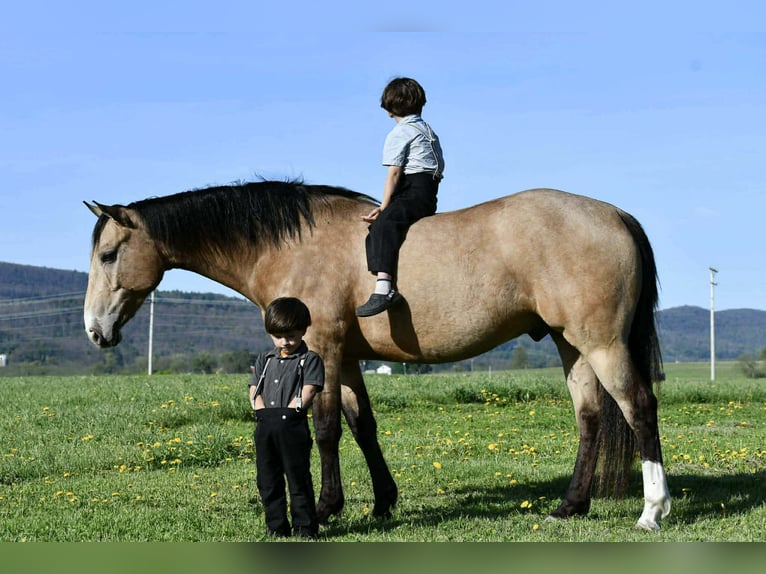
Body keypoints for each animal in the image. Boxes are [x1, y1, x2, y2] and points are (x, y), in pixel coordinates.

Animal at [83, 180, 671, 531]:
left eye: (109, 254)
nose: (94, 330)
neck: (291, 244)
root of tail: (615, 213)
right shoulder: (344, 359)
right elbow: (361, 426)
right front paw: (384, 501)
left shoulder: (321, 348)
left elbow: (325, 430)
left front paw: (325, 508)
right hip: (572, 345)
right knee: (591, 419)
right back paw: (570, 505)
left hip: (601, 343)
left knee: (640, 409)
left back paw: (652, 510)